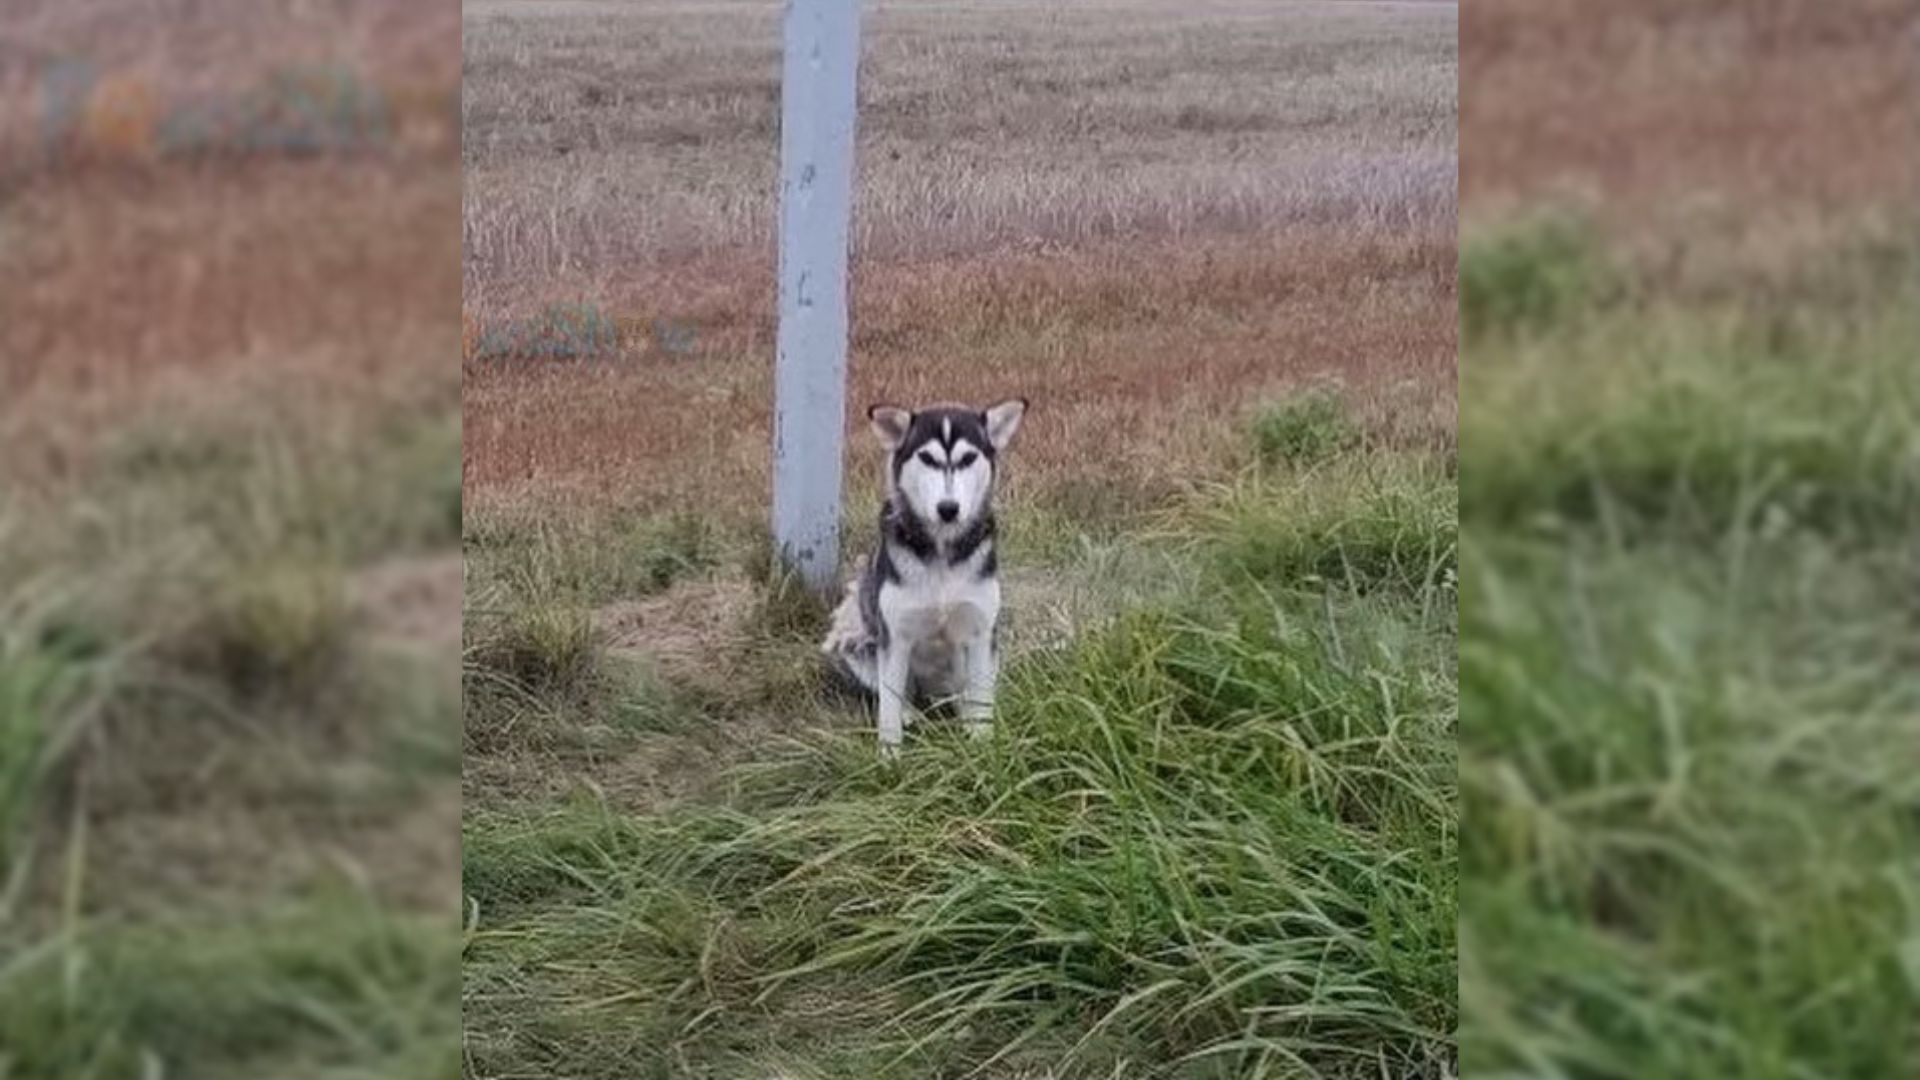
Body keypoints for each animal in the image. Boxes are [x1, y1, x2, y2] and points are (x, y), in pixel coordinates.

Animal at [817, 393, 1029, 749]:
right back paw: (910, 714)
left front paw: (983, 747)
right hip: (856, 645)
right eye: (927, 458)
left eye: (968, 458)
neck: (942, 552)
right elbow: (888, 711)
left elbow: (981, 703)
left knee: (965, 695)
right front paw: (889, 756)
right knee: (897, 694)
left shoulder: (982, 632)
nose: (948, 508)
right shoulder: (896, 637)